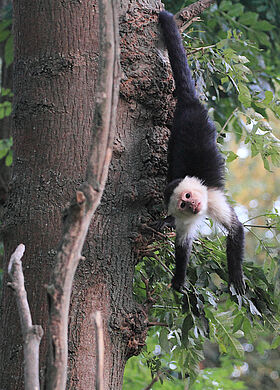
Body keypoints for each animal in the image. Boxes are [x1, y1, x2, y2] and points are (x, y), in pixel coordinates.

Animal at [159, 10, 246, 294]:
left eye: (189, 195)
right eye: (183, 203)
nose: (193, 204)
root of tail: (188, 103)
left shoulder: (211, 196)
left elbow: (235, 230)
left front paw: (236, 277)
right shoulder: (186, 218)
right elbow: (183, 244)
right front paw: (178, 281)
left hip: (193, 118)